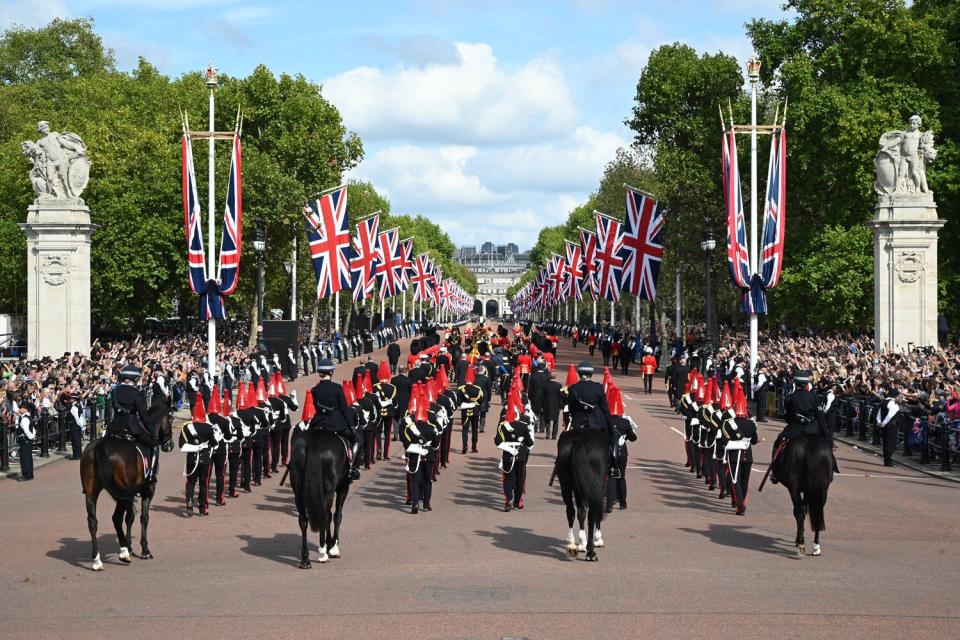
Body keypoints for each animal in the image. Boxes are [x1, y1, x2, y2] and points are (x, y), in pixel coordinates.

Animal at [79, 402, 172, 572]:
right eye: (170, 418)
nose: (169, 445)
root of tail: (100, 447)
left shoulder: (131, 493)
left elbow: (130, 518)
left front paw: (129, 546)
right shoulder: (148, 489)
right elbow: (142, 517)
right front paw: (143, 550)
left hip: (92, 492)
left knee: (93, 522)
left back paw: (97, 560)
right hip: (122, 493)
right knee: (116, 518)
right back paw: (123, 553)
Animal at [292, 428, 356, 568]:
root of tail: (314, 443)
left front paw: (329, 544)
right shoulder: (343, 487)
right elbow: (337, 516)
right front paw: (333, 547)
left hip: (298, 493)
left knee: (303, 520)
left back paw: (305, 559)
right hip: (329, 490)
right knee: (325, 516)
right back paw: (323, 553)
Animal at [556, 430, 608, 560]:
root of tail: (579, 440)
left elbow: (581, 513)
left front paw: (582, 543)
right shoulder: (601, 485)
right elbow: (597, 512)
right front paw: (597, 539)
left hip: (566, 485)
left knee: (571, 511)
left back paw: (572, 545)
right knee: (592, 513)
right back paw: (590, 552)